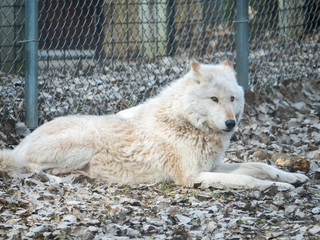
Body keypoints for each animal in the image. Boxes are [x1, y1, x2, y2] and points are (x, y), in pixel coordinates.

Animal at [0, 61, 310, 189]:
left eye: (232, 98)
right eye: (213, 99)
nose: (230, 123)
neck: (187, 123)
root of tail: (20, 143)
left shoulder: (212, 166)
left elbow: (259, 166)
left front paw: (293, 177)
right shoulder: (191, 176)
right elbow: (248, 179)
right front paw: (276, 188)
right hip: (83, 142)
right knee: (27, 168)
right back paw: (59, 179)